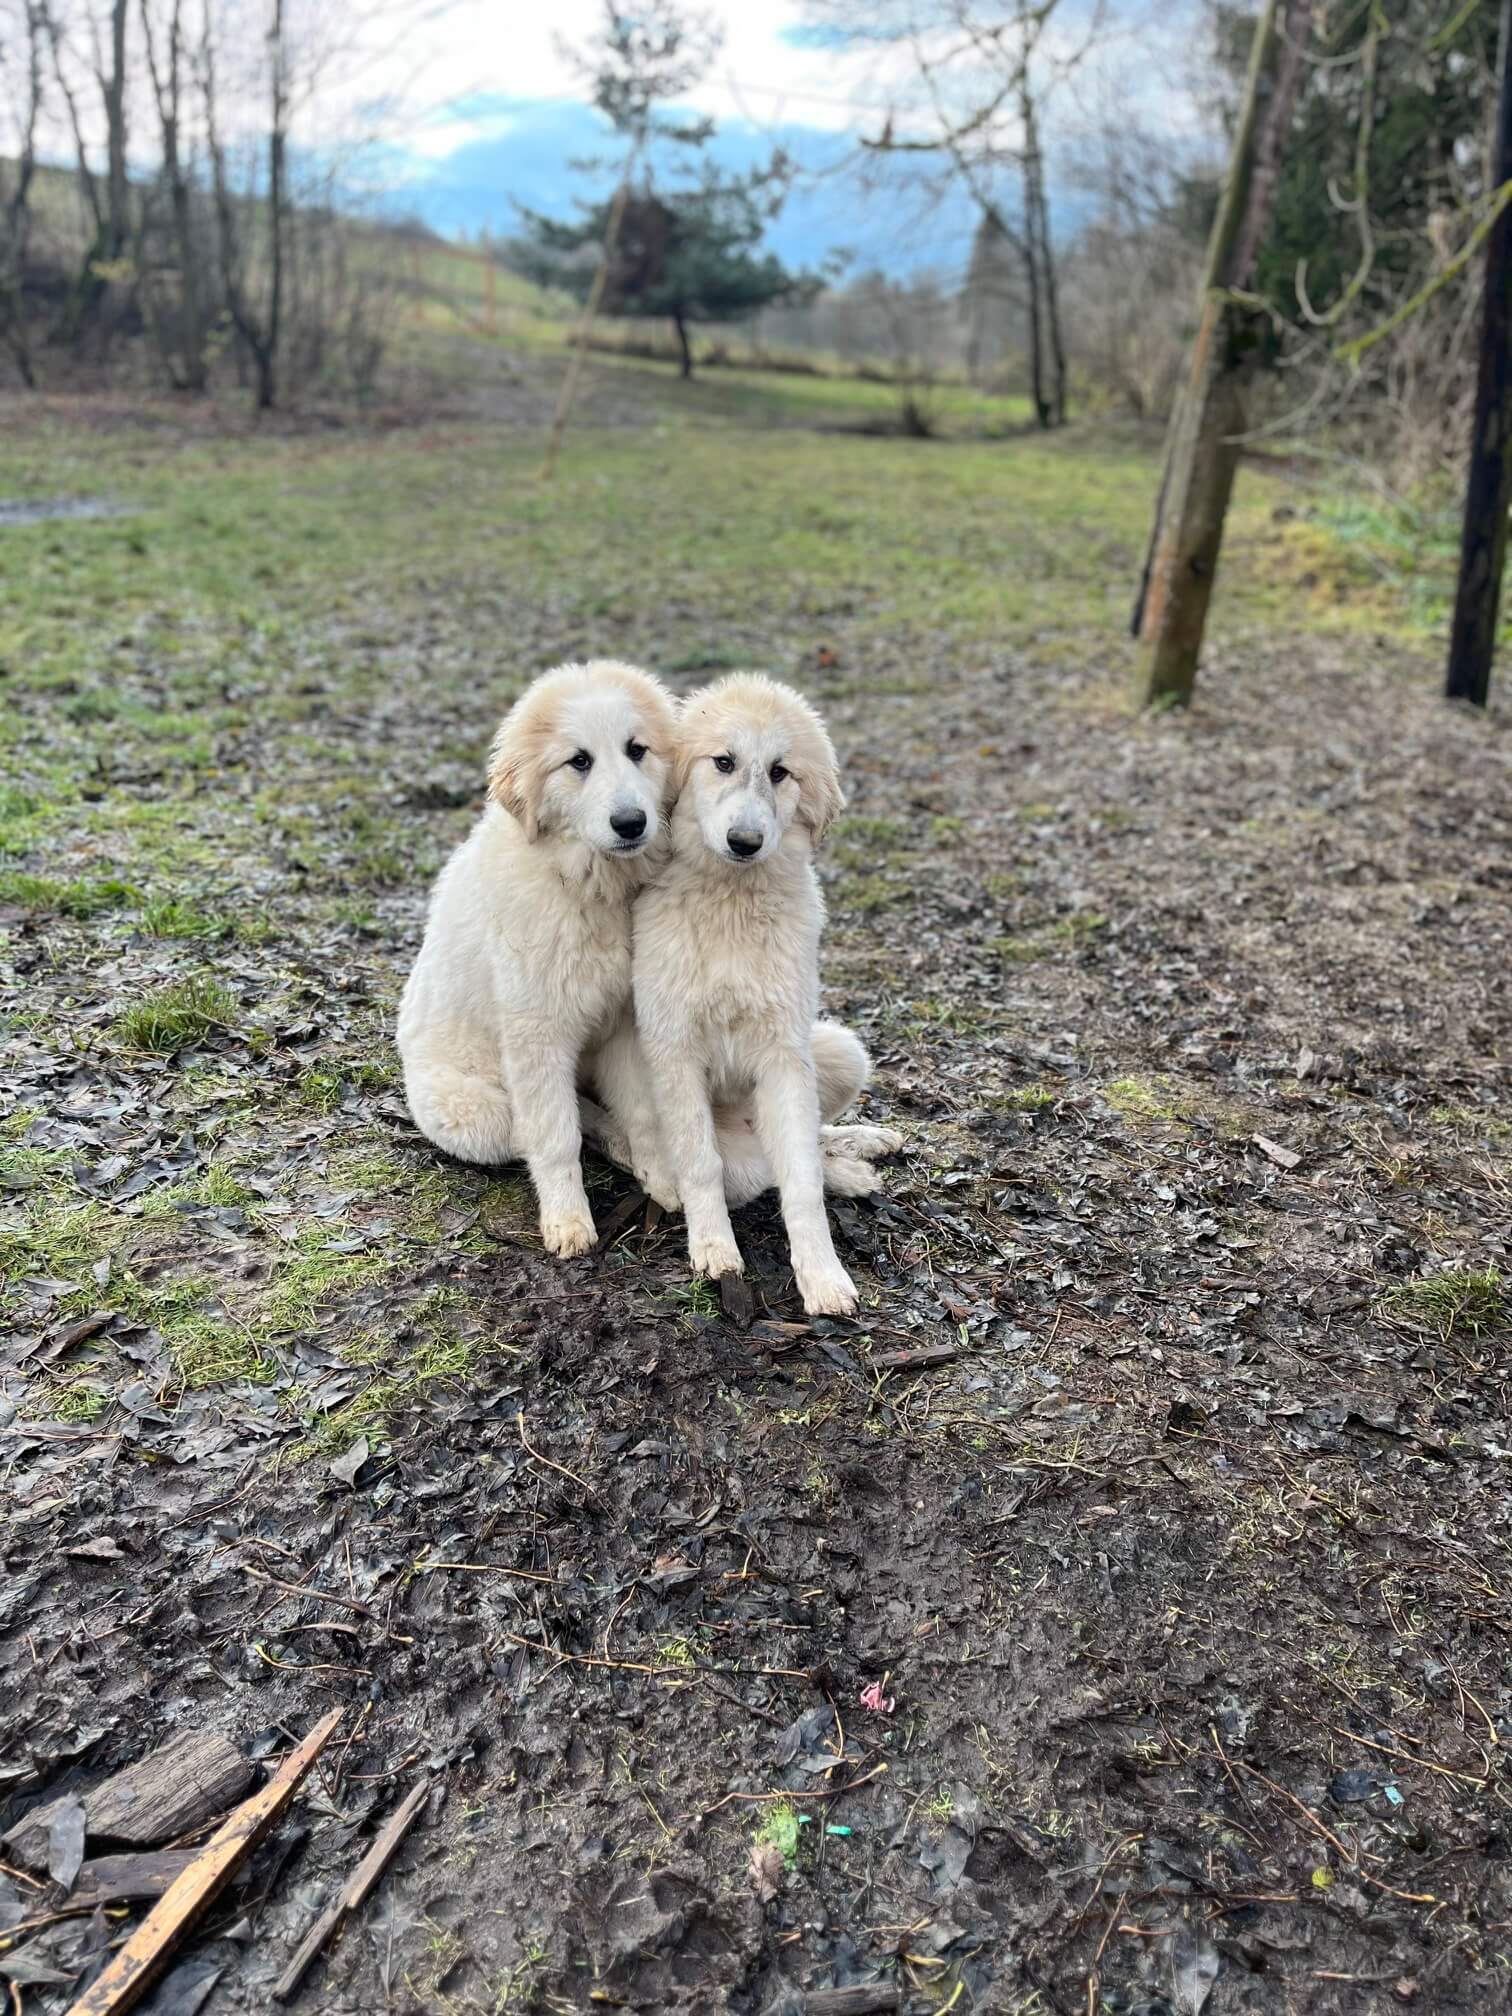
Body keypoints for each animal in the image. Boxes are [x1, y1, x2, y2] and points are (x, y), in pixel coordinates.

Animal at [405, 661, 685, 1257]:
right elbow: (556, 1137)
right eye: (579, 761)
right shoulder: (537, 1033)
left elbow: (645, 1113)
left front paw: (665, 1181)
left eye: (637, 750)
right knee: (544, 1126)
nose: (631, 823)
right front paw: (568, 1222)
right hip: (475, 1113)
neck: (585, 883)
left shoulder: (625, 1022)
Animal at [628, 669, 899, 1314]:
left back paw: (861, 1150)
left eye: (780, 771)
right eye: (723, 762)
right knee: (762, 1169)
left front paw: (823, 1277)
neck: (731, 897)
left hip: (837, 1051)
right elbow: (700, 1163)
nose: (745, 841)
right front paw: (713, 1250)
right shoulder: (674, 1050)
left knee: (808, 1145)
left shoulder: (783, 1056)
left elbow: (802, 1182)